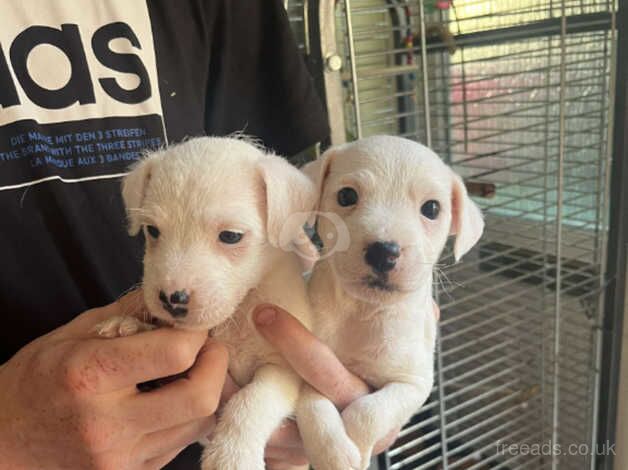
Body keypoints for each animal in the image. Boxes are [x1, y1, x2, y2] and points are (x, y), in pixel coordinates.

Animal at [97, 136, 316, 470]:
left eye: (231, 236)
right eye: (152, 231)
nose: (172, 300)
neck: (240, 313)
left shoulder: (284, 368)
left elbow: (251, 400)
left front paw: (232, 454)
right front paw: (133, 326)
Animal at [296, 135, 484, 470]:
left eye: (432, 208)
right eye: (346, 195)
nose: (384, 252)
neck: (364, 311)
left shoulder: (413, 383)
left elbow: (369, 411)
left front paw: (355, 444)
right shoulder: (310, 362)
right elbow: (313, 404)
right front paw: (333, 454)